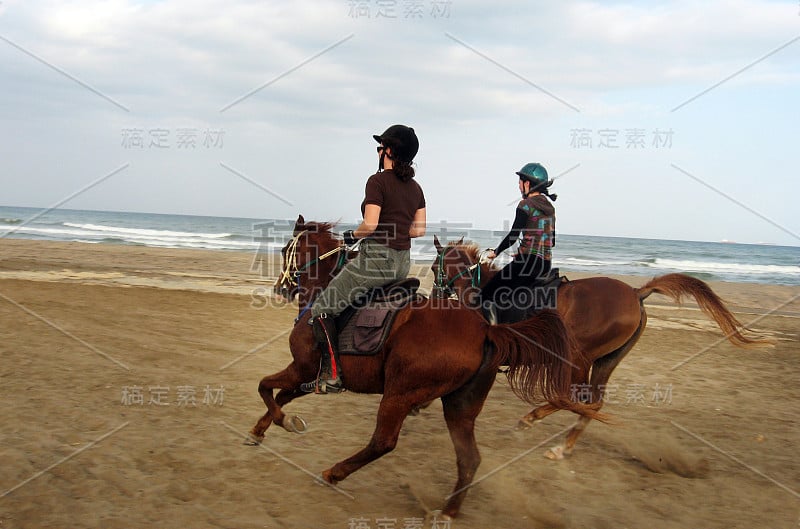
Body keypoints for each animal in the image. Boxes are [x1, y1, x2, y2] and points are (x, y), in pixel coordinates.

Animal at [250, 217, 600, 516]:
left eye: (285, 249)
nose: (280, 289)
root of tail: (485, 330)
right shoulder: (309, 376)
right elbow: (279, 395)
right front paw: (261, 429)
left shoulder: (303, 368)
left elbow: (266, 387)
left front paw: (282, 422)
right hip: (459, 407)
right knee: (469, 458)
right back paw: (448, 511)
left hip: (399, 394)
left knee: (383, 442)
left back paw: (335, 473)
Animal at [432, 237, 768, 460]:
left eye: (435, 266)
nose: (435, 295)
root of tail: (636, 292)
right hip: (606, 360)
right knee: (593, 402)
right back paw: (562, 446)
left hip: (579, 356)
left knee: (573, 398)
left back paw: (531, 422)